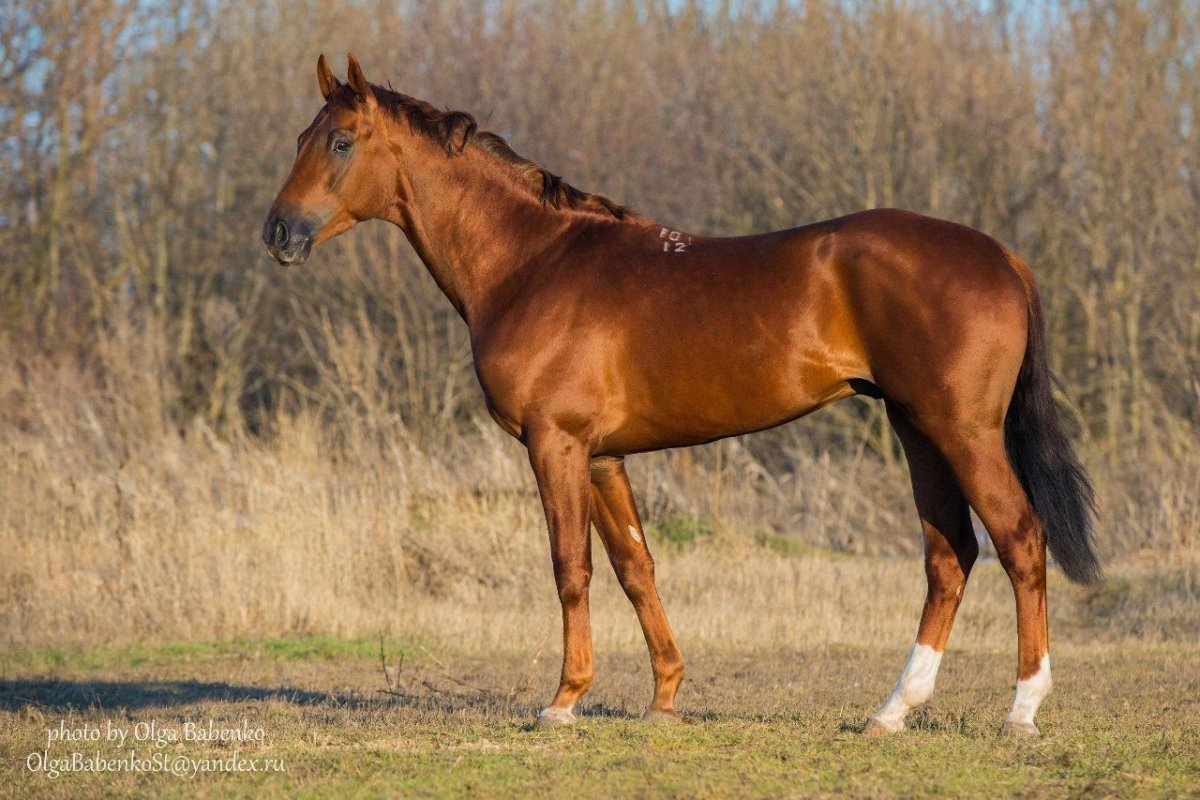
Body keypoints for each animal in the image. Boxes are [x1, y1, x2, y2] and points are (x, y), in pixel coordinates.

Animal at [262, 53, 1099, 734]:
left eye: (341, 141)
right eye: (301, 136)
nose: (277, 233)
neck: (533, 263)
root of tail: (1003, 257)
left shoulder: (556, 444)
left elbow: (571, 568)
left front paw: (563, 700)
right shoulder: (603, 458)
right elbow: (636, 567)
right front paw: (664, 696)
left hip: (962, 431)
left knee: (1019, 539)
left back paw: (1022, 709)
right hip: (916, 429)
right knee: (949, 554)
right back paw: (892, 710)